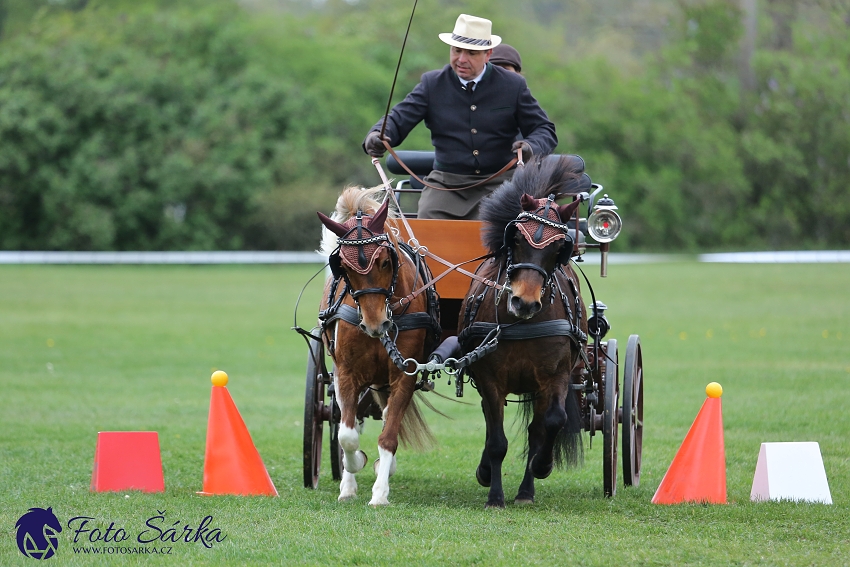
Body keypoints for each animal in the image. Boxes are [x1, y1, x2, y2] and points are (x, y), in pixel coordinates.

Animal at [316, 186, 438, 506]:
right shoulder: (345, 373)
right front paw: (352, 469)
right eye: (343, 267)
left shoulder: (403, 374)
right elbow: (346, 435)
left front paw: (380, 492)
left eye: (385, 261)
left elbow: (389, 434)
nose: (376, 324)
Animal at [458, 156, 588, 510]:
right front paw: (494, 495)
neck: (522, 325)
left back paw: (527, 490)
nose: (524, 302)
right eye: (515, 239)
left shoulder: (555, 376)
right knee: (493, 426)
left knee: (536, 429)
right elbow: (497, 440)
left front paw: (541, 467)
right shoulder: (490, 378)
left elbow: (551, 423)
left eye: (559, 248)